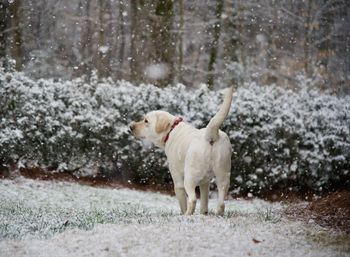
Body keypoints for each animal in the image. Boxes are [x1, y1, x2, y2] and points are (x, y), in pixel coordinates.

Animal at [130, 86, 234, 214]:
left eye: (146, 121)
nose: (131, 126)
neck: (171, 130)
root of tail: (210, 136)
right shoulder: (205, 182)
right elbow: (204, 202)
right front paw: (203, 214)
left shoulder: (178, 181)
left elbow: (183, 203)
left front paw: (183, 213)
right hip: (224, 175)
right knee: (221, 202)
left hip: (189, 178)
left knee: (193, 199)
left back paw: (187, 215)